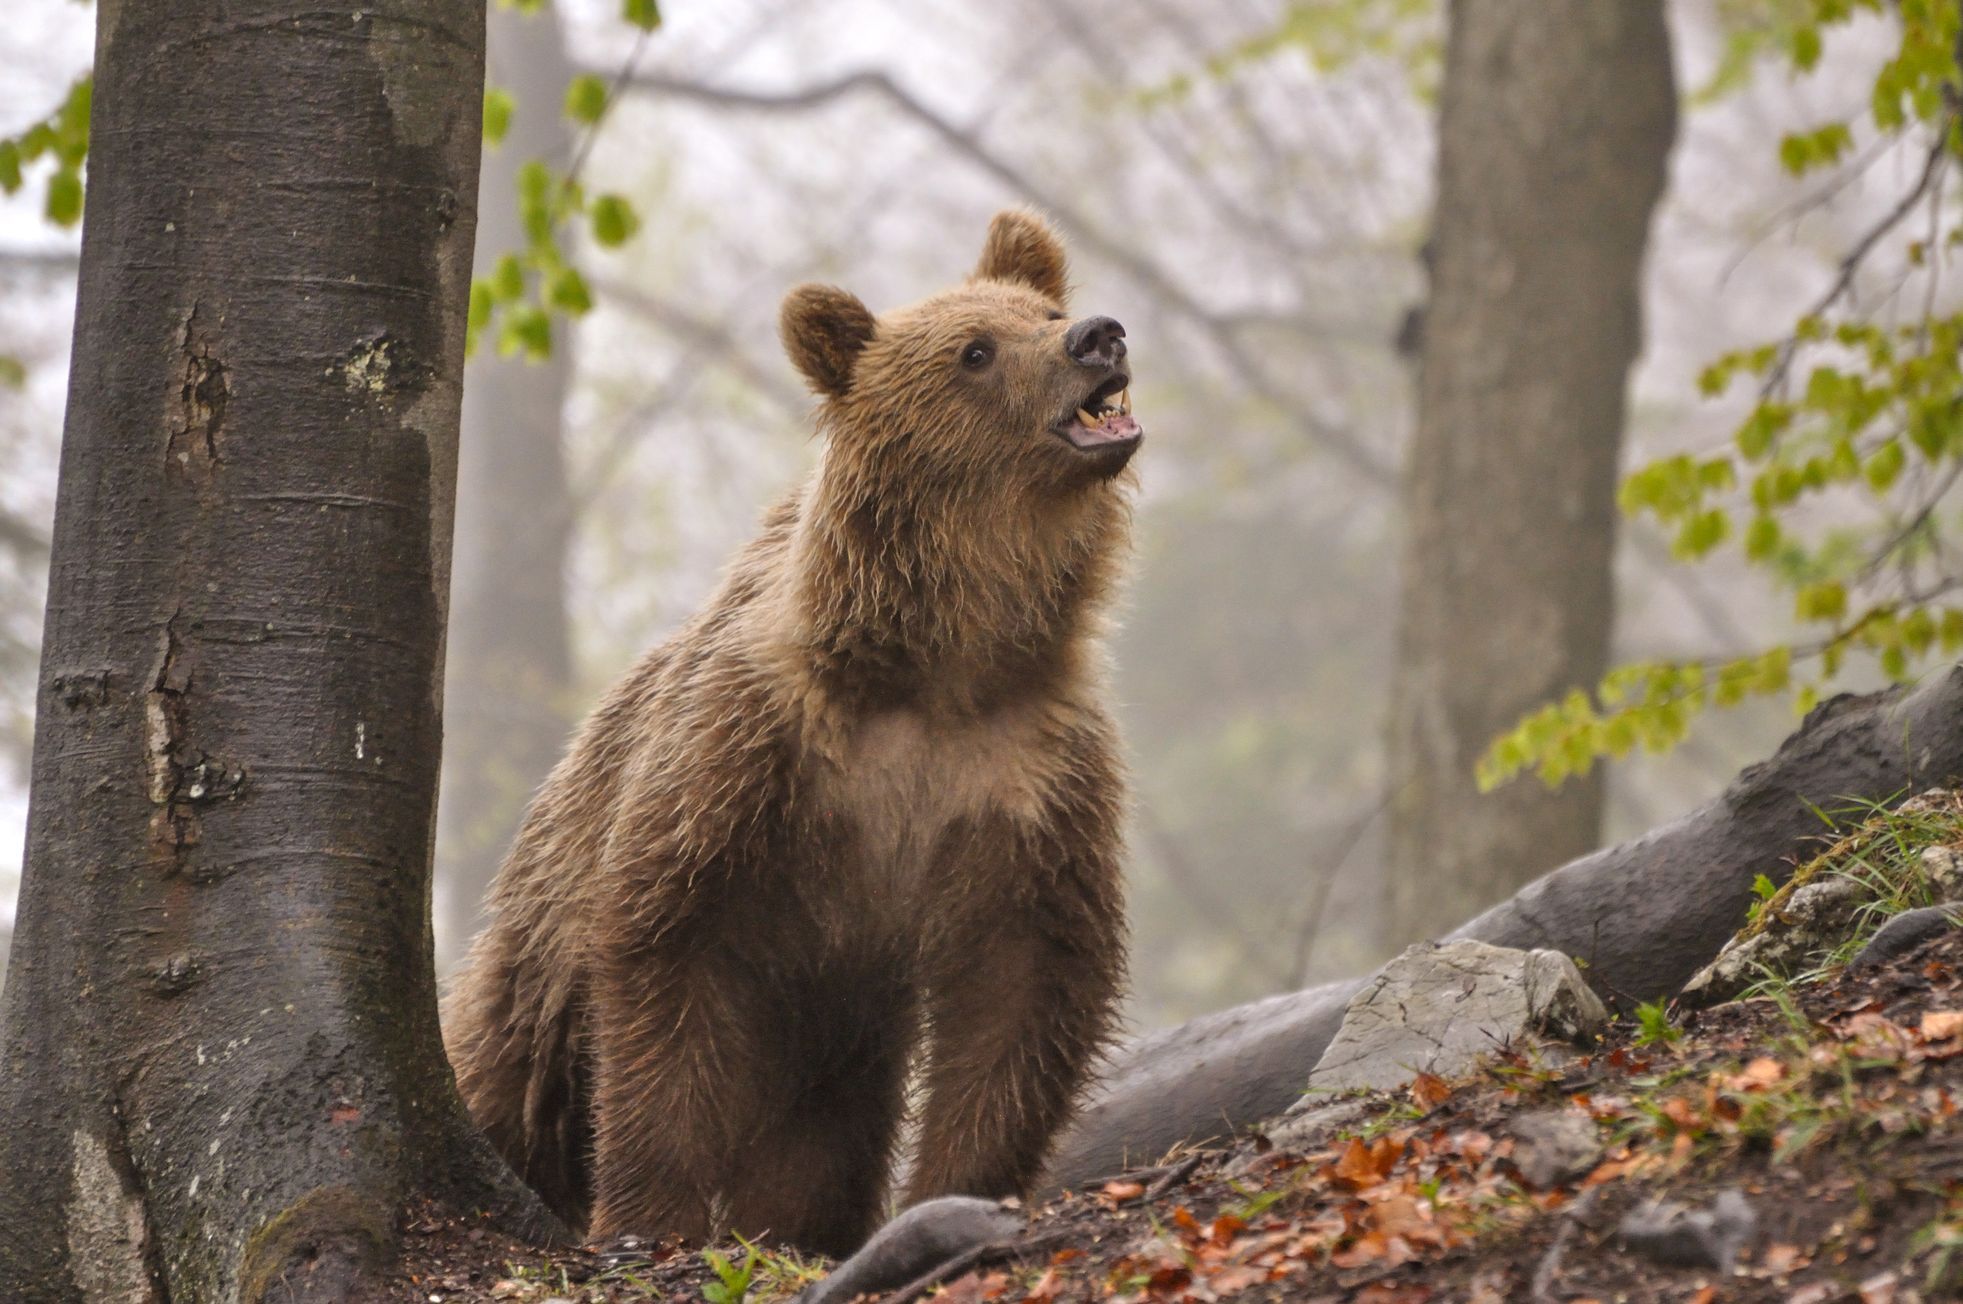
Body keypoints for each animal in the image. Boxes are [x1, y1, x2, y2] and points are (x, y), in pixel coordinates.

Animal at [439, 209, 1146, 1256]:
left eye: (1045, 312)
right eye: (976, 350)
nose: (1097, 336)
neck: (939, 663)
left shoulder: (1026, 773)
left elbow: (1025, 986)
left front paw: (952, 1188)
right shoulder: (749, 755)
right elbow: (664, 962)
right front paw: (651, 1214)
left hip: (833, 1040)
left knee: (818, 1139)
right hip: (545, 937)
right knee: (509, 1068)